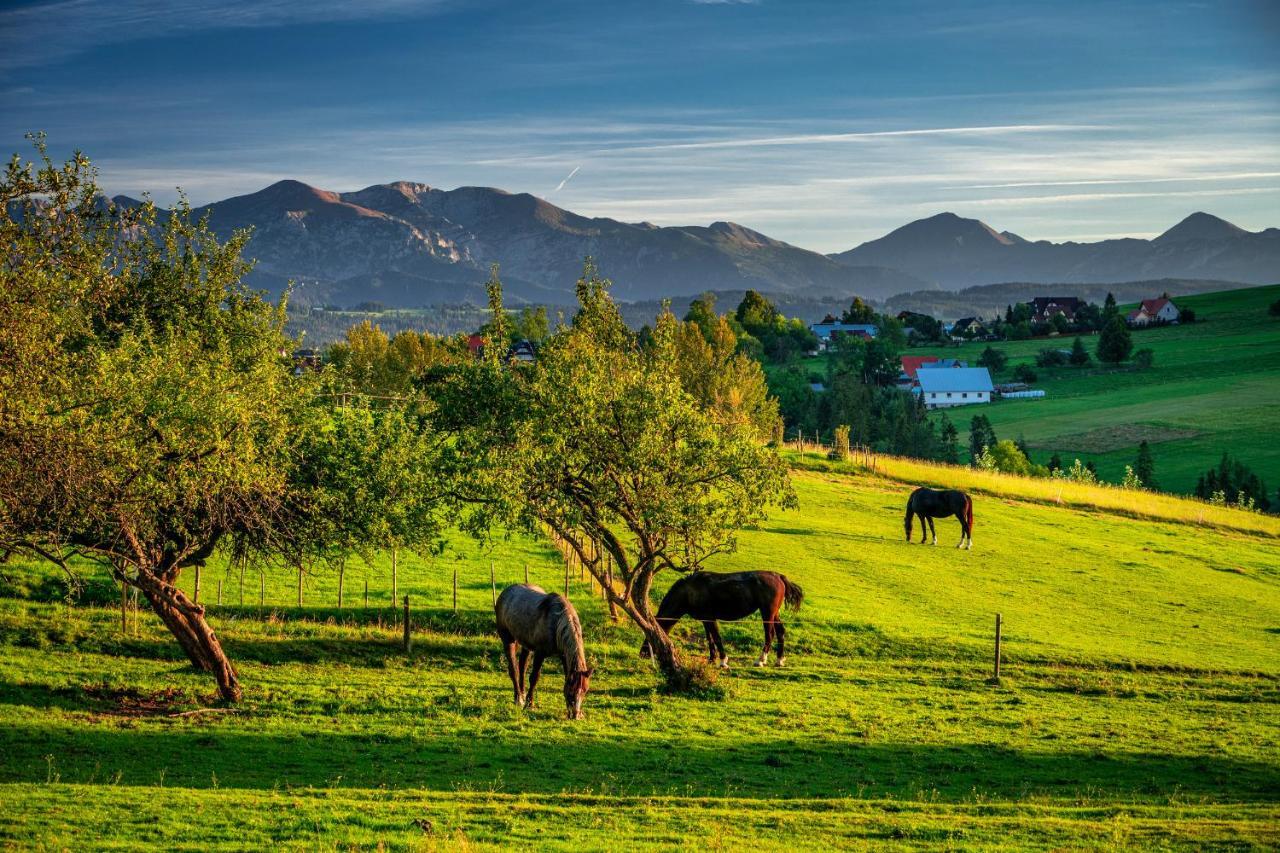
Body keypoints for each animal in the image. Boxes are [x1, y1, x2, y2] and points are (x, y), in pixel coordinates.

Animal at [494, 581, 593, 712]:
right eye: (571, 690)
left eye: (585, 691)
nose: (575, 713)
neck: (556, 623)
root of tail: (505, 592)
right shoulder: (540, 653)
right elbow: (534, 678)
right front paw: (529, 704)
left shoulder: (563, 655)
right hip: (508, 639)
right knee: (514, 669)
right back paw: (518, 699)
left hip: (526, 645)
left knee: (522, 666)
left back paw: (522, 694)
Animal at [637, 568, 803, 666]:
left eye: (650, 634)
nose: (642, 653)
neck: (689, 591)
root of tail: (779, 576)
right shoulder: (705, 620)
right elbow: (709, 639)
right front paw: (711, 659)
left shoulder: (710, 618)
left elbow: (716, 638)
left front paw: (723, 660)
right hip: (774, 613)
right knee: (781, 632)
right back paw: (779, 660)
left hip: (767, 613)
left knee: (770, 634)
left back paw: (761, 660)